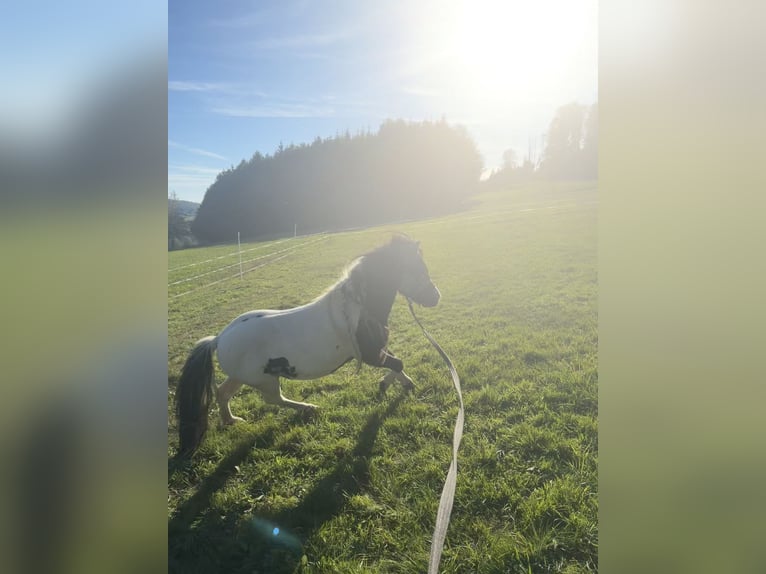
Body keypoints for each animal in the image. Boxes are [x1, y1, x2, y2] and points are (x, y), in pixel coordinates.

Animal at [174, 234, 440, 457]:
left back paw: (232, 421)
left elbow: (396, 363)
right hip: (265, 380)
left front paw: (401, 384)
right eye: (416, 268)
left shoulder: (377, 350)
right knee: (274, 400)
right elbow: (398, 362)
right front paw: (390, 384)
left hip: (241, 377)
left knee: (223, 393)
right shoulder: (371, 354)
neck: (358, 308)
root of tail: (219, 338)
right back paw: (309, 407)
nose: (435, 297)